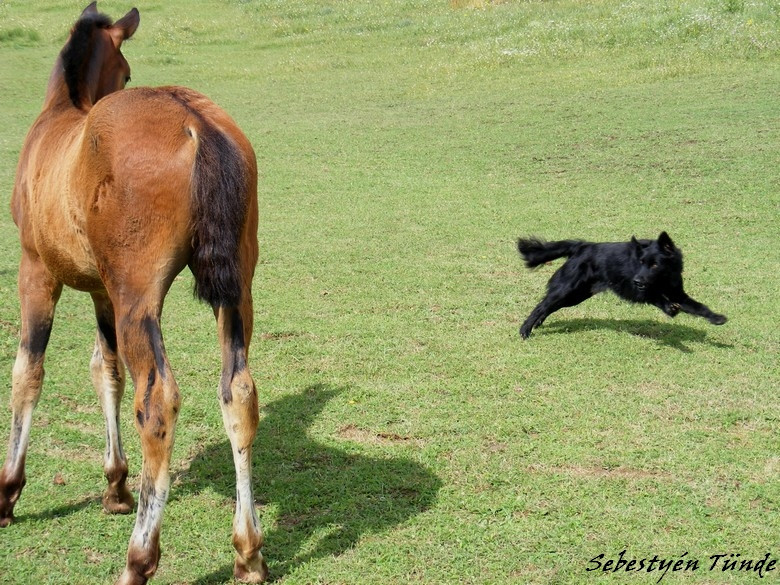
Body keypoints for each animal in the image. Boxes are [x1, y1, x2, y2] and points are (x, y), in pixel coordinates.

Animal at [0, 2, 266, 580]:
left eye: (123, 75)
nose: (123, 81)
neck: (62, 118)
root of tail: (196, 122)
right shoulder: (101, 291)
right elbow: (107, 373)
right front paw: (116, 485)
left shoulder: (36, 272)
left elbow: (27, 373)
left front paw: (7, 492)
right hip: (235, 291)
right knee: (237, 393)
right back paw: (248, 552)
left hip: (138, 297)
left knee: (158, 401)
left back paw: (139, 558)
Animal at [516, 229, 724, 338]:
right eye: (641, 262)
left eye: (655, 264)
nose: (637, 279)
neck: (663, 277)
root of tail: (582, 246)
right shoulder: (638, 289)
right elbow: (655, 295)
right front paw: (669, 309)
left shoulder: (677, 293)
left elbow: (699, 307)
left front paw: (717, 318)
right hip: (567, 289)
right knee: (541, 306)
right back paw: (525, 330)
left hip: (576, 295)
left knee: (548, 307)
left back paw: (538, 324)